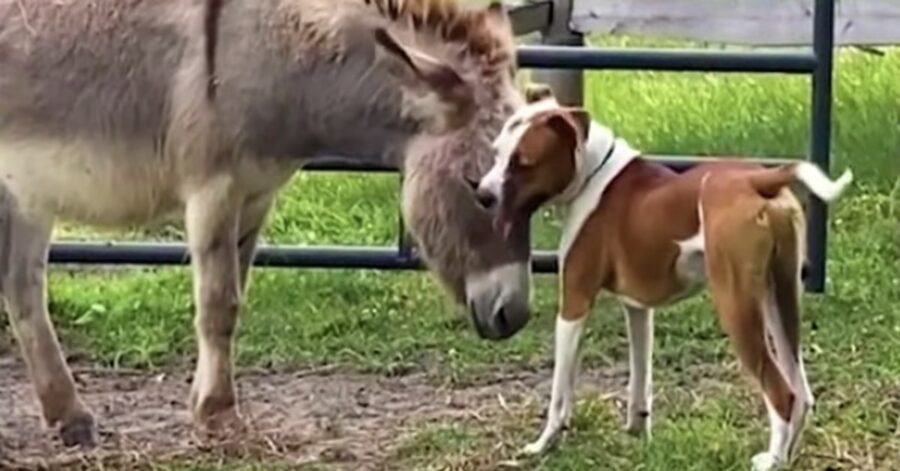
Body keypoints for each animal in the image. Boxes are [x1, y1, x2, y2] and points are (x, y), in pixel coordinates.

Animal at [474, 85, 856, 471]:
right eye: (496, 152)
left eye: (523, 162)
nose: (483, 195)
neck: (593, 174)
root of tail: (758, 179)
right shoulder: (638, 309)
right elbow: (639, 381)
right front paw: (637, 434)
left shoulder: (574, 305)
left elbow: (559, 394)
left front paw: (543, 444)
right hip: (781, 297)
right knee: (801, 391)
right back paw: (786, 454)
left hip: (738, 307)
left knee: (781, 393)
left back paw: (773, 459)